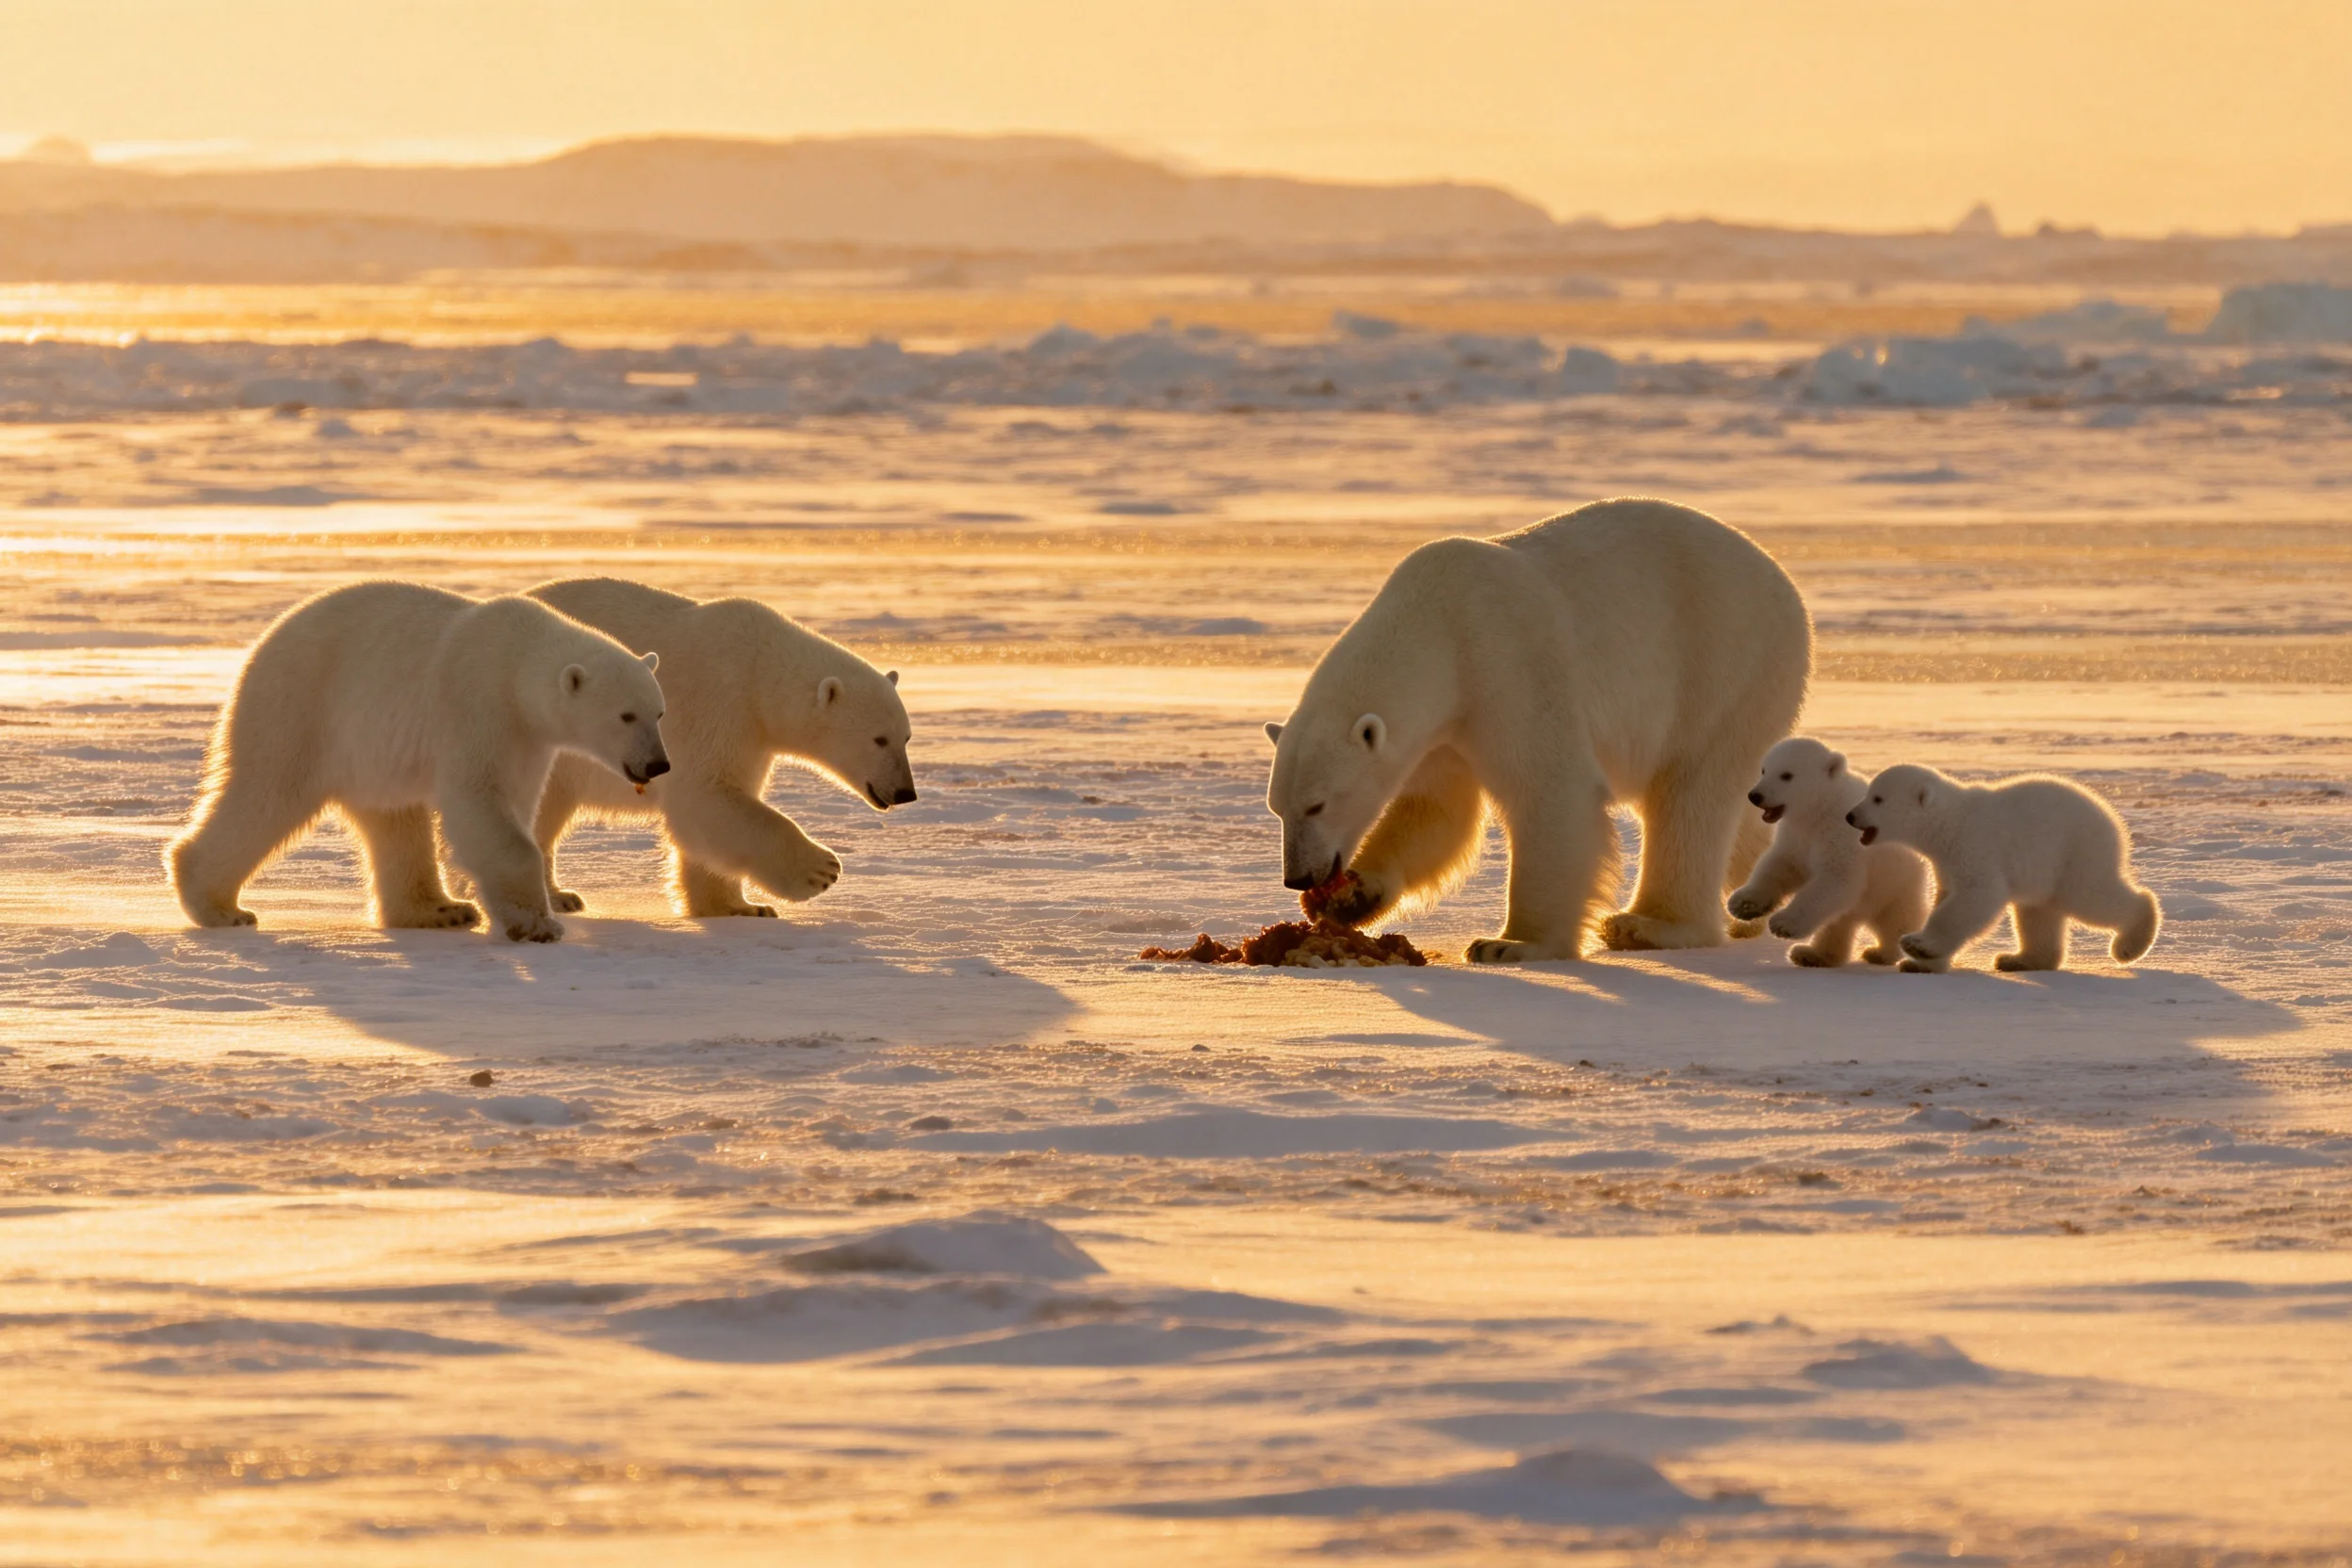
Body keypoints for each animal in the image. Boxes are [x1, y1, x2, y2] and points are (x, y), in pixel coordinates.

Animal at [167, 582, 669, 943]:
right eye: (625, 715)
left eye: (659, 712)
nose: (658, 765)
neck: (516, 665)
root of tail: (263, 643)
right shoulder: (479, 710)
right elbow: (480, 803)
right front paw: (538, 925)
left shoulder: (528, 741)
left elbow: (515, 804)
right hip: (300, 707)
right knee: (267, 794)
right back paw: (219, 906)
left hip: (370, 757)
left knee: (394, 821)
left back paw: (439, 910)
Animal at [524, 578, 915, 918]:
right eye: (879, 739)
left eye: (907, 737)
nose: (905, 792)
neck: (759, 672)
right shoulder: (719, 706)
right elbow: (705, 798)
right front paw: (821, 870)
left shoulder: (754, 739)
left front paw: (740, 907)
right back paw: (557, 897)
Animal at [1264, 498, 1811, 962]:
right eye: (1277, 808)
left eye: (1317, 804)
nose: (1298, 877)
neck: (1440, 625)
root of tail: (1782, 580)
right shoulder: (1443, 731)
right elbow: (1435, 810)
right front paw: (1353, 897)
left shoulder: (1508, 665)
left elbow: (1549, 790)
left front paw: (1511, 943)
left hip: (1724, 668)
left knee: (1689, 796)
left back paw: (1650, 925)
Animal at [1726, 736, 1932, 967]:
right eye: (1764, 770)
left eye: (1787, 775)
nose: (1755, 796)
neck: (1821, 808)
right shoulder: (1796, 836)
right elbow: (1780, 866)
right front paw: (1743, 904)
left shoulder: (1840, 834)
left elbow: (1835, 878)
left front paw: (1782, 923)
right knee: (1839, 921)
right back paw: (1810, 954)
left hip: (1896, 885)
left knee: (1897, 919)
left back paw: (1882, 953)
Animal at [1843, 763, 2162, 973]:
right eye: (1869, 792)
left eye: (1877, 798)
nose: (1850, 815)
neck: (1949, 822)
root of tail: (2113, 819)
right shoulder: (1945, 864)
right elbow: (1948, 898)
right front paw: (1918, 963)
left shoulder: (1975, 847)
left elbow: (1977, 898)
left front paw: (1917, 945)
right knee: (2038, 912)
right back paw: (2019, 959)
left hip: (2076, 852)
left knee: (2090, 896)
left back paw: (2130, 943)